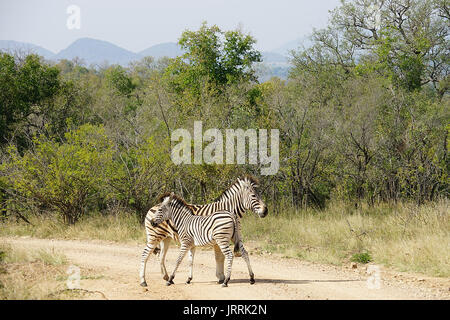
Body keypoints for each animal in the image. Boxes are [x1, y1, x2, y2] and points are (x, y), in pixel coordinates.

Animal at [140, 176, 268, 286]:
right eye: (254, 196)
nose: (266, 211)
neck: (230, 210)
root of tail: (152, 207)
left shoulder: (234, 238)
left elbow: (237, 255)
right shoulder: (218, 240)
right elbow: (219, 258)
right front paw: (221, 278)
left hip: (165, 238)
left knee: (160, 256)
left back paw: (165, 277)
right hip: (154, 236)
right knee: (145, 254)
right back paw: (143, 281)